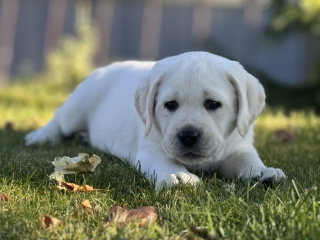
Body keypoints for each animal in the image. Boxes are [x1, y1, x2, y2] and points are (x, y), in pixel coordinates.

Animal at [25, 52, 284, 188]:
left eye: (212, 104)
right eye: (170, 105)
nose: (188, 136)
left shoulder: (240, 145)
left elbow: (247, 159)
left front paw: (263, 171)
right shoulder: (150, 150)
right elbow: (165, 161)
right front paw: (179, 175)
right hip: (77, 107)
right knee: (59, 119)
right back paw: (40, 136)